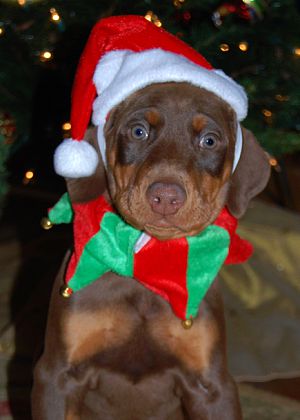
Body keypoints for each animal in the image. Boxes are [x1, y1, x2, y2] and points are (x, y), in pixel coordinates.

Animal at [31, 80, 270, 418]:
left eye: (209, 140)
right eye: (139, 131)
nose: (166, 197)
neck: (148, 264)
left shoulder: (212, 386)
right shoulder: (57, 375)